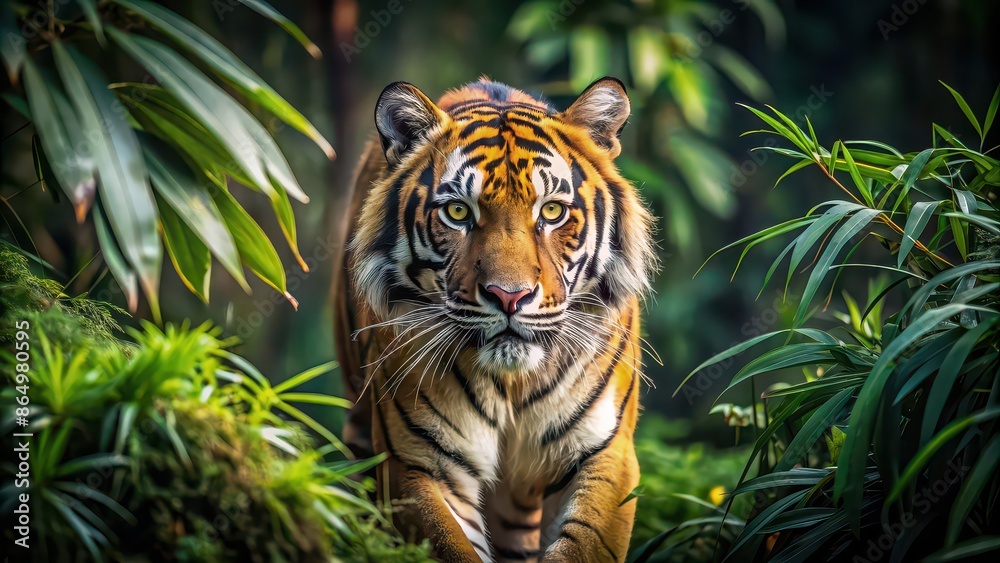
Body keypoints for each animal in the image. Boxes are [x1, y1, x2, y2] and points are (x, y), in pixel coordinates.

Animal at [331, 76, 657, 562]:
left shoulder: (604, 451)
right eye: (458, 212)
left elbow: (583, 544)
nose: (510, 296)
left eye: (552, 211)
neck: (512, 386)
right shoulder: (418, 462)